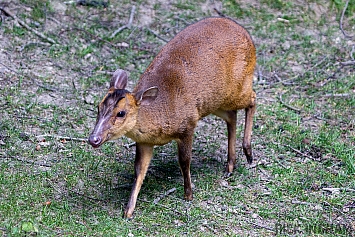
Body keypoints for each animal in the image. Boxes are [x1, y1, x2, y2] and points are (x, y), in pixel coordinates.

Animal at [88, 16, 256, 218]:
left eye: (121, 113)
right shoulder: (144, 142)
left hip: (237, 87)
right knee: (232, 116)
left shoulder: (188, 124)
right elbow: (139, 171)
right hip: (215, 102)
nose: (93, 139)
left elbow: (184, 160)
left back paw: (248, 153)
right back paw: (230, 165)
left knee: (253, 99)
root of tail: (246, 34)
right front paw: (128, 210)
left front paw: (188, 194)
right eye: (98, 107)